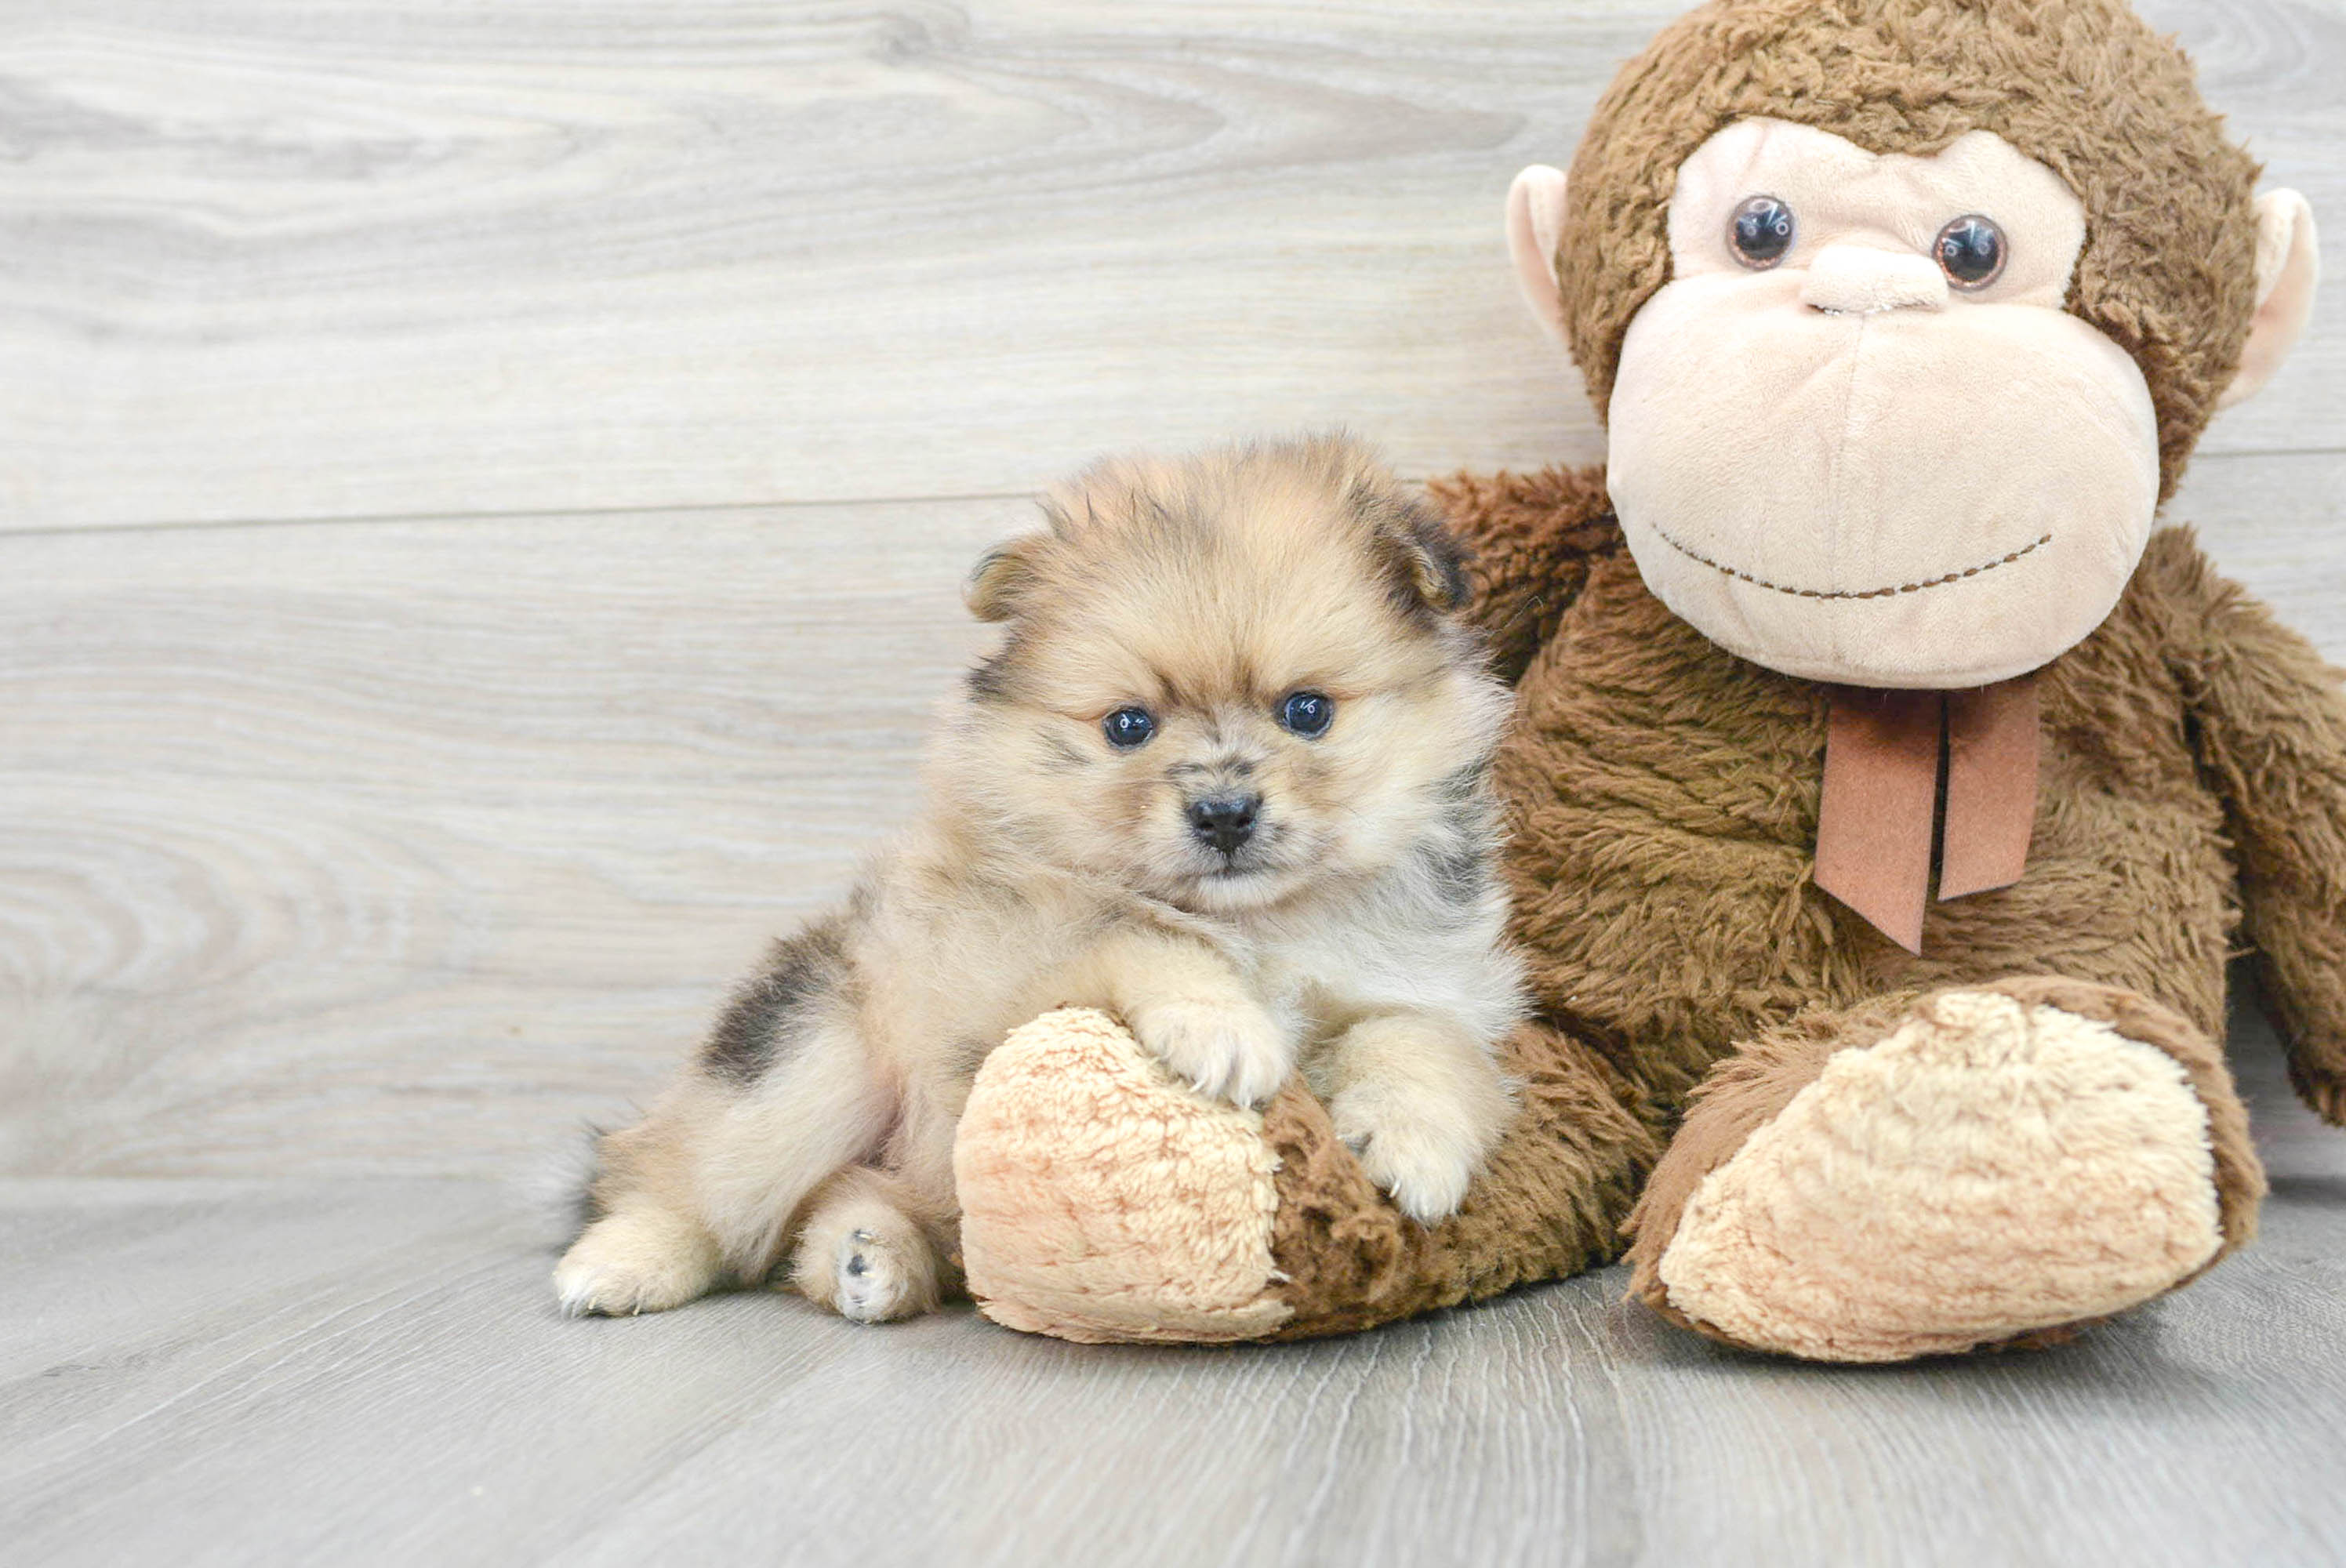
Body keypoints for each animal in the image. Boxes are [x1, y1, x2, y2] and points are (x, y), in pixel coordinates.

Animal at [558, 438, 1529, 1323]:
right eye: (1128, 725)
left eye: (1307, 710)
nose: (1222, 812)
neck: (1262, 925)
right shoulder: (1001, 982)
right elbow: (1134, 930)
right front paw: (1224, 1026)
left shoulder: (1427, 981)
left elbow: (1421, 1038)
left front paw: (1412, 1141)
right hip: (813, 1057)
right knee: (688, 1179)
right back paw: (626, 1259)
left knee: (837, 1207)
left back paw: (869, 1258)